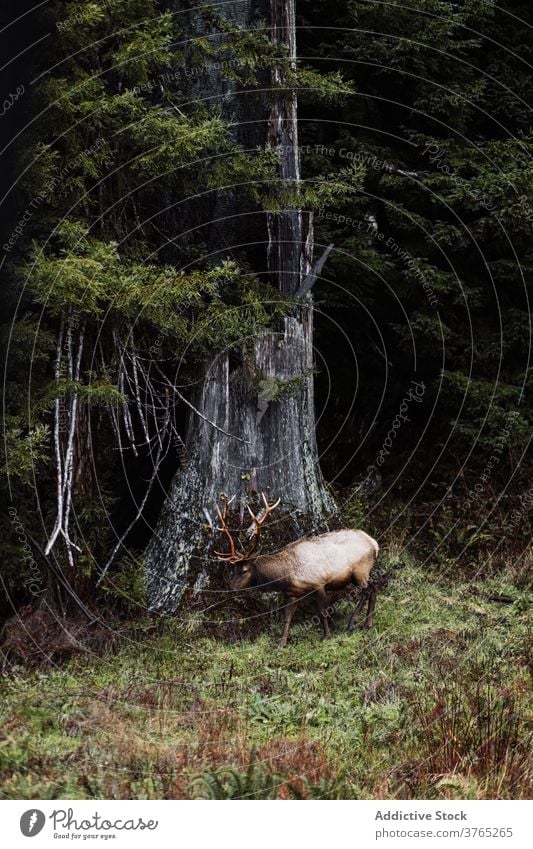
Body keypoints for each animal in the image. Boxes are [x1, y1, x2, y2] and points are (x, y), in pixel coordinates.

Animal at [212, 494, 378, 644]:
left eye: (244, 570)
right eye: (233, 569)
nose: (230, 587)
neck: (287, 576)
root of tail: (374, 544)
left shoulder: (319, 583)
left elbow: (322, 612)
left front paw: (326, 635)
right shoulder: (292, 593)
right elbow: (287, 618)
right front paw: (281, 643)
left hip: (360, 570)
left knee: (367, 590)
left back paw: (352, 624)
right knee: (373, 588)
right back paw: (367, 624)